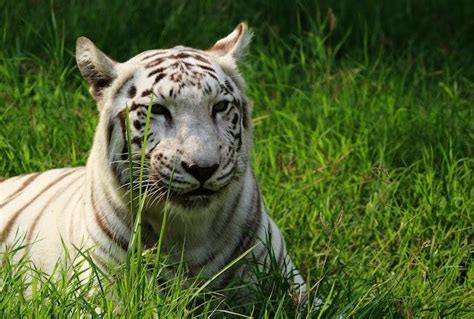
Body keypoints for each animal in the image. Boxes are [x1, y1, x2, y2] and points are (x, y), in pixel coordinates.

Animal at [0, 23, 308, 304]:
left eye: (220, 107)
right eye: (157, 110)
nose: (203, 168)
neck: (189, 234)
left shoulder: (287, 278)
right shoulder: (101, 292)